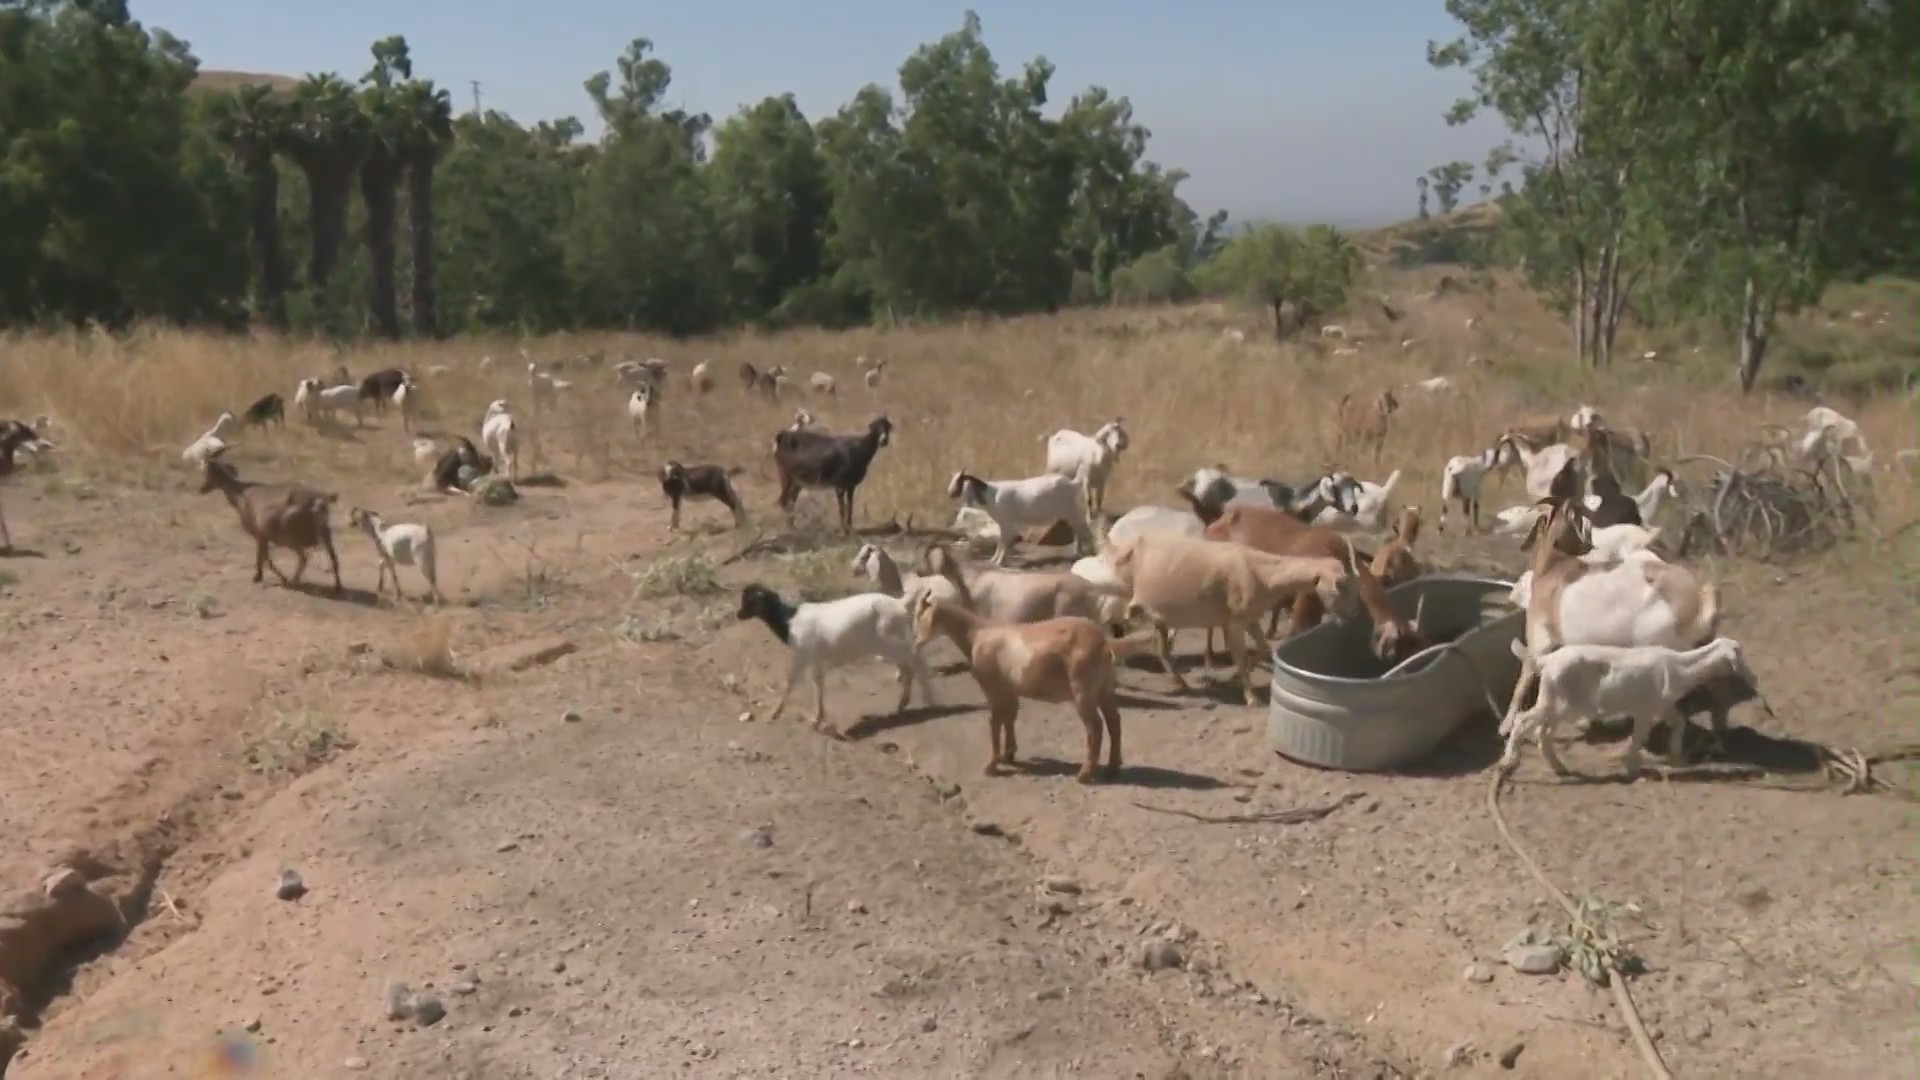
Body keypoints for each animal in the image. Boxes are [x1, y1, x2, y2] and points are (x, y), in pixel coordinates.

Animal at [198, 447, 345, 595]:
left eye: (208, 471)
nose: (201, 489)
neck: (240, 495)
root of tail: (318, 502)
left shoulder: (260, 533)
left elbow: (264, 557)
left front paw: (260, 578)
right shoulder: (264, 536)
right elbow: (264, 557)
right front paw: (262, 577)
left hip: (290, 534)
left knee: (304, 557)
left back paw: (293, 582)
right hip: (324, 532)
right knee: (333, 558)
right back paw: (337, 587)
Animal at [729, 584, 933, 734]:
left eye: (750, 601)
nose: (739, 614)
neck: (790, 621)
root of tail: (900, 604)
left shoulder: (803, 656)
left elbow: (792, 682)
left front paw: (778, 714)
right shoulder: (815, 659)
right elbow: (818, 684)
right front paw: (817, 718)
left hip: (889, 642)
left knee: (915, 658)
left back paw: (930, 699)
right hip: (890, 644)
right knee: (907, 664)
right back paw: (903, 703)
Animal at [910, 591, 1121, 776]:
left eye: (921, 618)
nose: (916, 642)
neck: (977, 634)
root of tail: (1104, 644)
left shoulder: (993, 689)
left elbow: (995, 721)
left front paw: (992, 765)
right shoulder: (1009, 690)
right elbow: (1009, 717)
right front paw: (1008, 755)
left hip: (1082, 691)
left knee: (1095, 727)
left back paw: (1085, 774)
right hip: (1104, 688)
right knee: (1114, 720)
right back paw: (1112, 767)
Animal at [948, 468, 1098, 564]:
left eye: (961, 483)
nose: (950, 493)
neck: (993, 495)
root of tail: (1074, 483)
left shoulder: (1007, 524)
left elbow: (1002, 542)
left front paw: (997, 561)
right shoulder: (1005, 524)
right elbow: (1003, 541)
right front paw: (995, 559)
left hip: (1074, 512)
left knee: (1086, 531)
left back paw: (1089, 554)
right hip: (1071, 515)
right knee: (1079, 532)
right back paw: (1077, 554)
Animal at [1505, 634, 1758, 776]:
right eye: (1739, 654)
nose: (1753, 678)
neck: (1679, 667)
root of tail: (1547, 660)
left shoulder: (1661, 706)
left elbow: (1679, 723)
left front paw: (1676, 756)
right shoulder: (1646, 709)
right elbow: (1639, 736)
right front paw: (1631, 765)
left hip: (1554, 700)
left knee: (1542, 732)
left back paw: (1558, 767)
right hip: (1561, 703)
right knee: (1524, 721)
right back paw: (1509, 760)